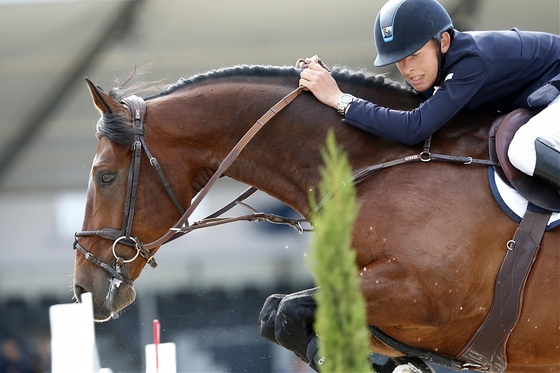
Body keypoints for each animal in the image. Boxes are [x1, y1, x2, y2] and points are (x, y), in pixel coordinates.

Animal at [72, 64, 556, 372]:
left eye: (105, 176)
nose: (82, 288)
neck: (380, 161)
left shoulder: (426, 297)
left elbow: (285, 310)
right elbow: (274, 312)